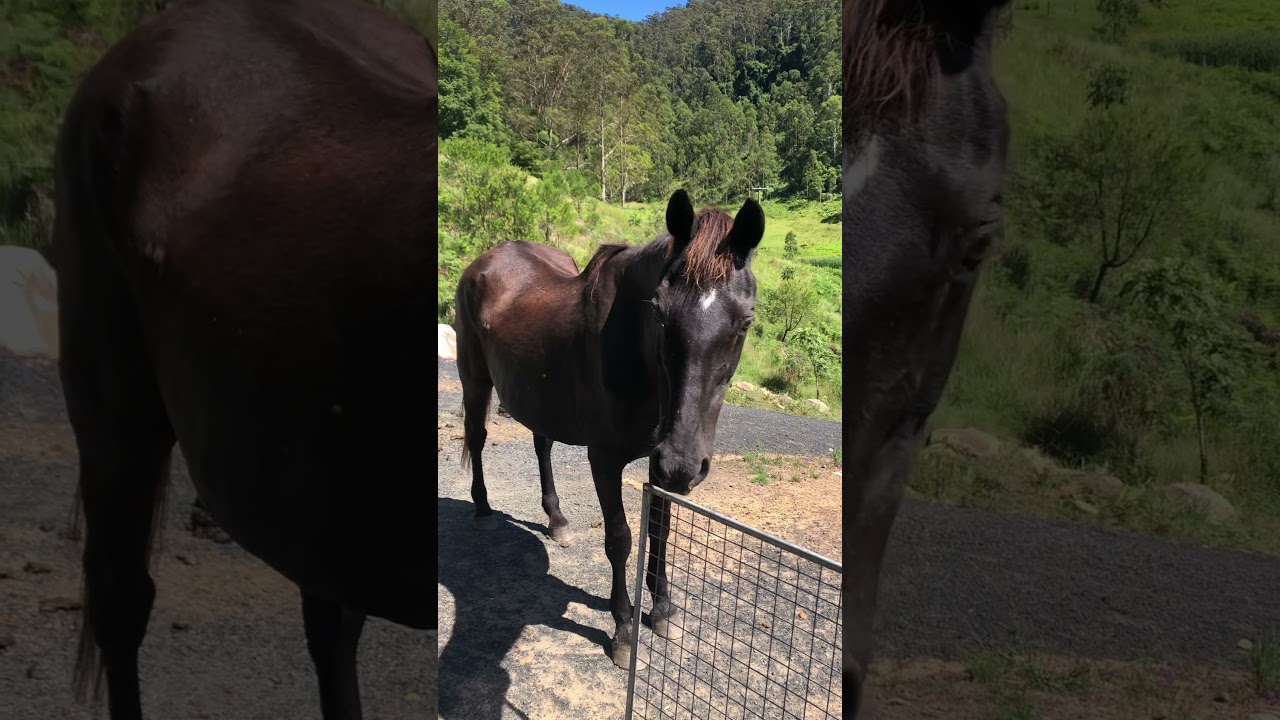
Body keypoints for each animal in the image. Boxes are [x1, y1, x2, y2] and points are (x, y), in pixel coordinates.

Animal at [453, 189, 764, 669]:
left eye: (745, 322)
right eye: (659, 313)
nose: (684, 465)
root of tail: (484, 261)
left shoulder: (659, 461)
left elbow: (660, 529)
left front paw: (664, 611)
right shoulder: (604, 460)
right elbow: (620, 539)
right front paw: (623, 630)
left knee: (542, 443)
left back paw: (557, 519)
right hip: (475, 379)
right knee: (478, 437)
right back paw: (484, 510)